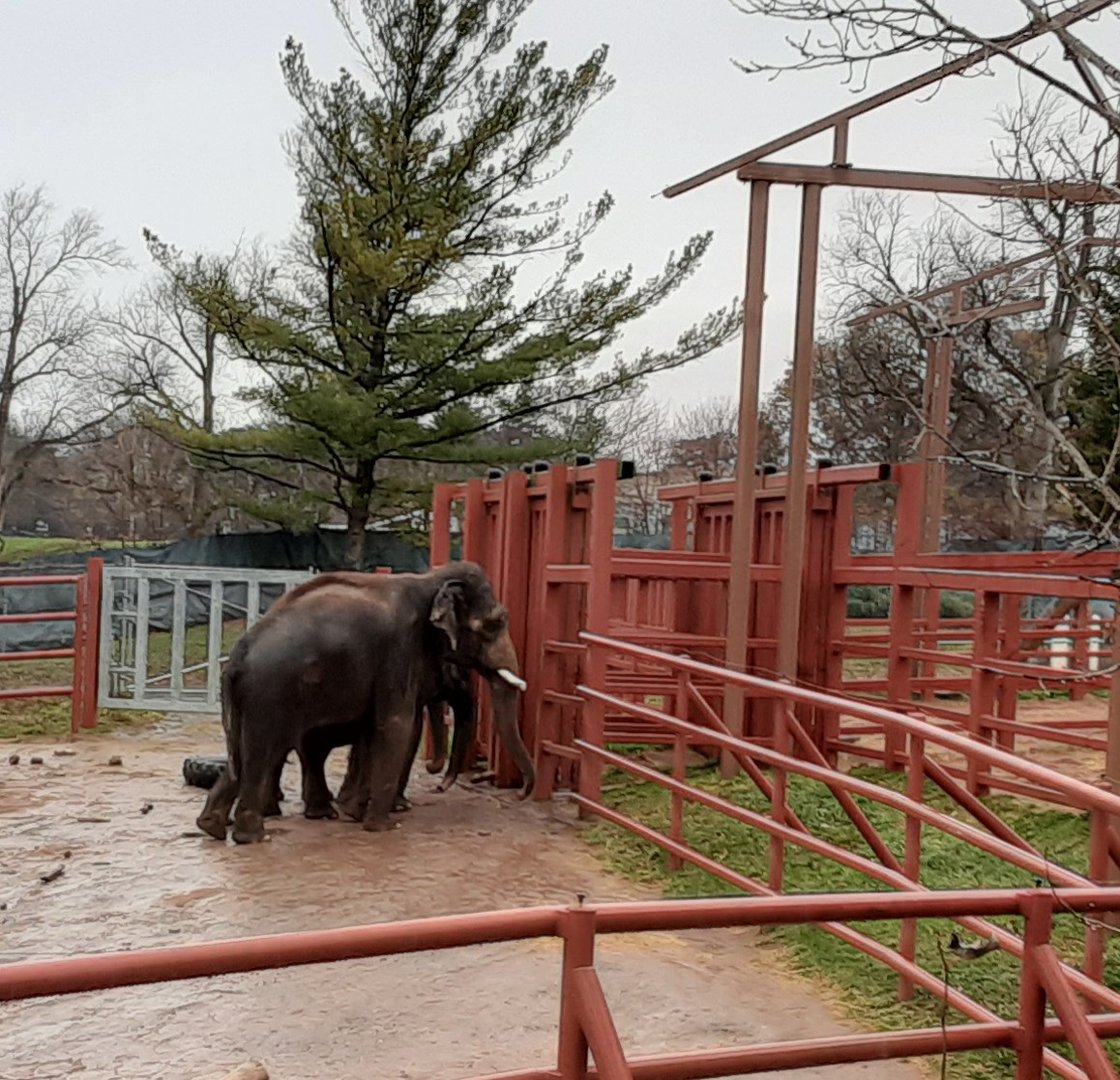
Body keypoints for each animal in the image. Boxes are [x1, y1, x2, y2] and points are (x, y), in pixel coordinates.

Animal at [196, 561, 533, 844]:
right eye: (496, 623)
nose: (520, 796)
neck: (430, 579)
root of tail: (236, 658)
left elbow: (377, 730)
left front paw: (357, 815)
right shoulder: (399, 649)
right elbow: (397, 726)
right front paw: (383, 826)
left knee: (244, 755)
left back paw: (213, 827)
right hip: (269, 695)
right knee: (262, 753)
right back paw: (254, 837)